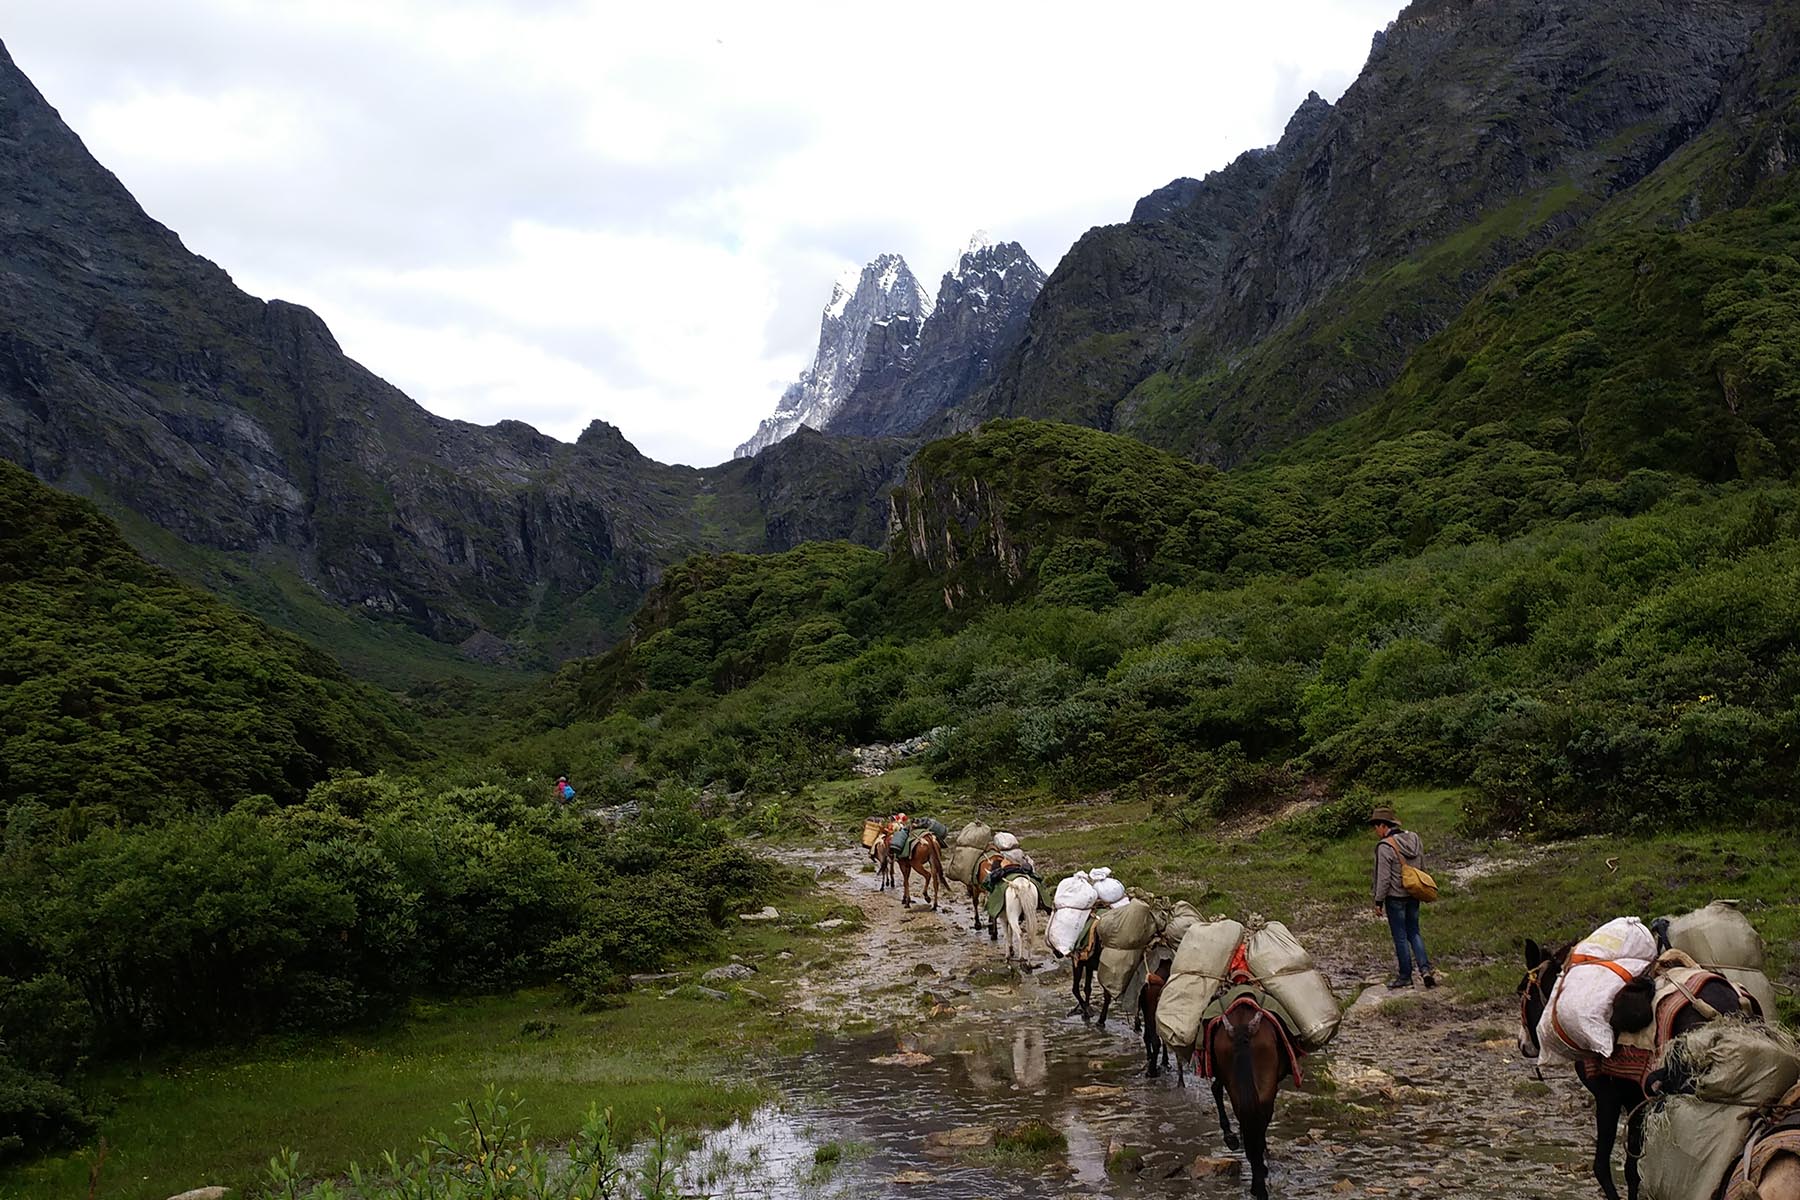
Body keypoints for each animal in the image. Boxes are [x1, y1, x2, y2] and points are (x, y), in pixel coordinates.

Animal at [1202, 1007, 1288, 1200]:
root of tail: (1242, 1027)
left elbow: (1216, 1088)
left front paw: (1231, 1138)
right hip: (1266, 1084)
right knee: (1257, 1126)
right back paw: (1259, 1186)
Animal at [1519, 935, 1742, 1200]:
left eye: (1521, 991)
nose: (1522, 1044)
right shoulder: (1636, 1100)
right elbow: (1632, 1169)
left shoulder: (1608, 1096)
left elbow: (1604, 1167)